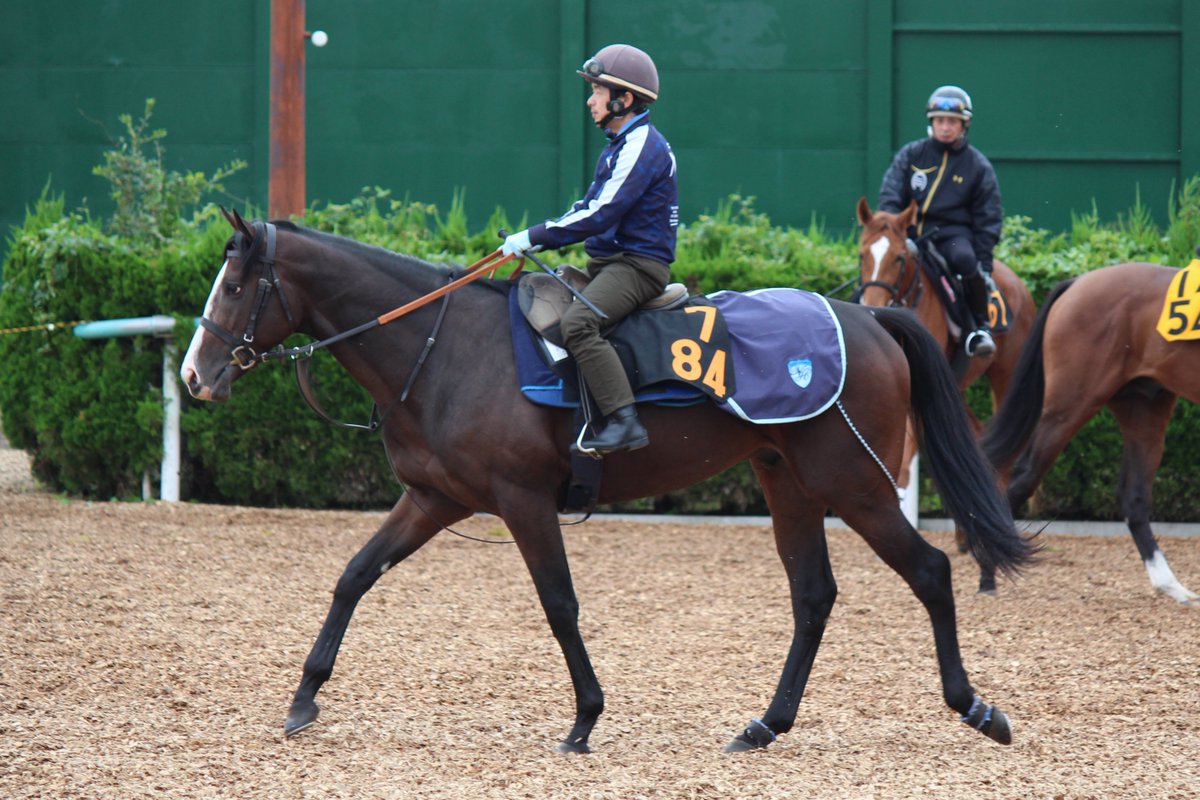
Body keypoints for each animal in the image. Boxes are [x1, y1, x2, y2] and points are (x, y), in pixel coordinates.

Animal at [981, 261, 1200, 605]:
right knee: (1022, 477)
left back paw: (1170, 584)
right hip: (1071, 403)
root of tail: (1077, 282)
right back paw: (988, 571)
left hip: (1143, 408)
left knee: (1134, 497)